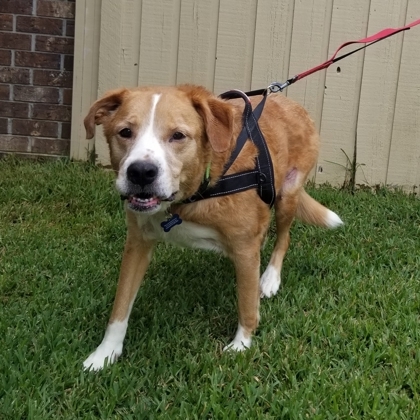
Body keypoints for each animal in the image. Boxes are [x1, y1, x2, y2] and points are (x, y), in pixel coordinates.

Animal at [81, 83, 342, 370]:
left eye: (178, 135)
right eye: (125, 132)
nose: (140, 172)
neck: (194, 193)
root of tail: (291, 102)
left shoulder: (245, 248)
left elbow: (246, 303)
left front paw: (241, 344)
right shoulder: (137, 243)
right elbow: (121, 305)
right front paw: (105, 353)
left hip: (288, 194)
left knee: (283, 237)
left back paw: (270, 278)